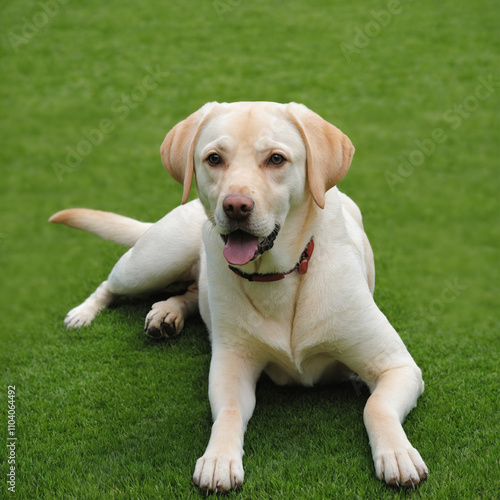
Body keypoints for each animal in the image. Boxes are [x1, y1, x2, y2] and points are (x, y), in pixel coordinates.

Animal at [49, 101, 426, 492]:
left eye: (276, 159)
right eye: (214, 158)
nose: (235, 207)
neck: (279, 275)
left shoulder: (397, 366)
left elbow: (375, 406)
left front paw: (397, 454)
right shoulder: (231, 365)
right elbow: (229, 411)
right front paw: (218, 459)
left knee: (190, 292)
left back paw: (167, 314)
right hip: (152, 261)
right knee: (113, 284)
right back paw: (84, 312)